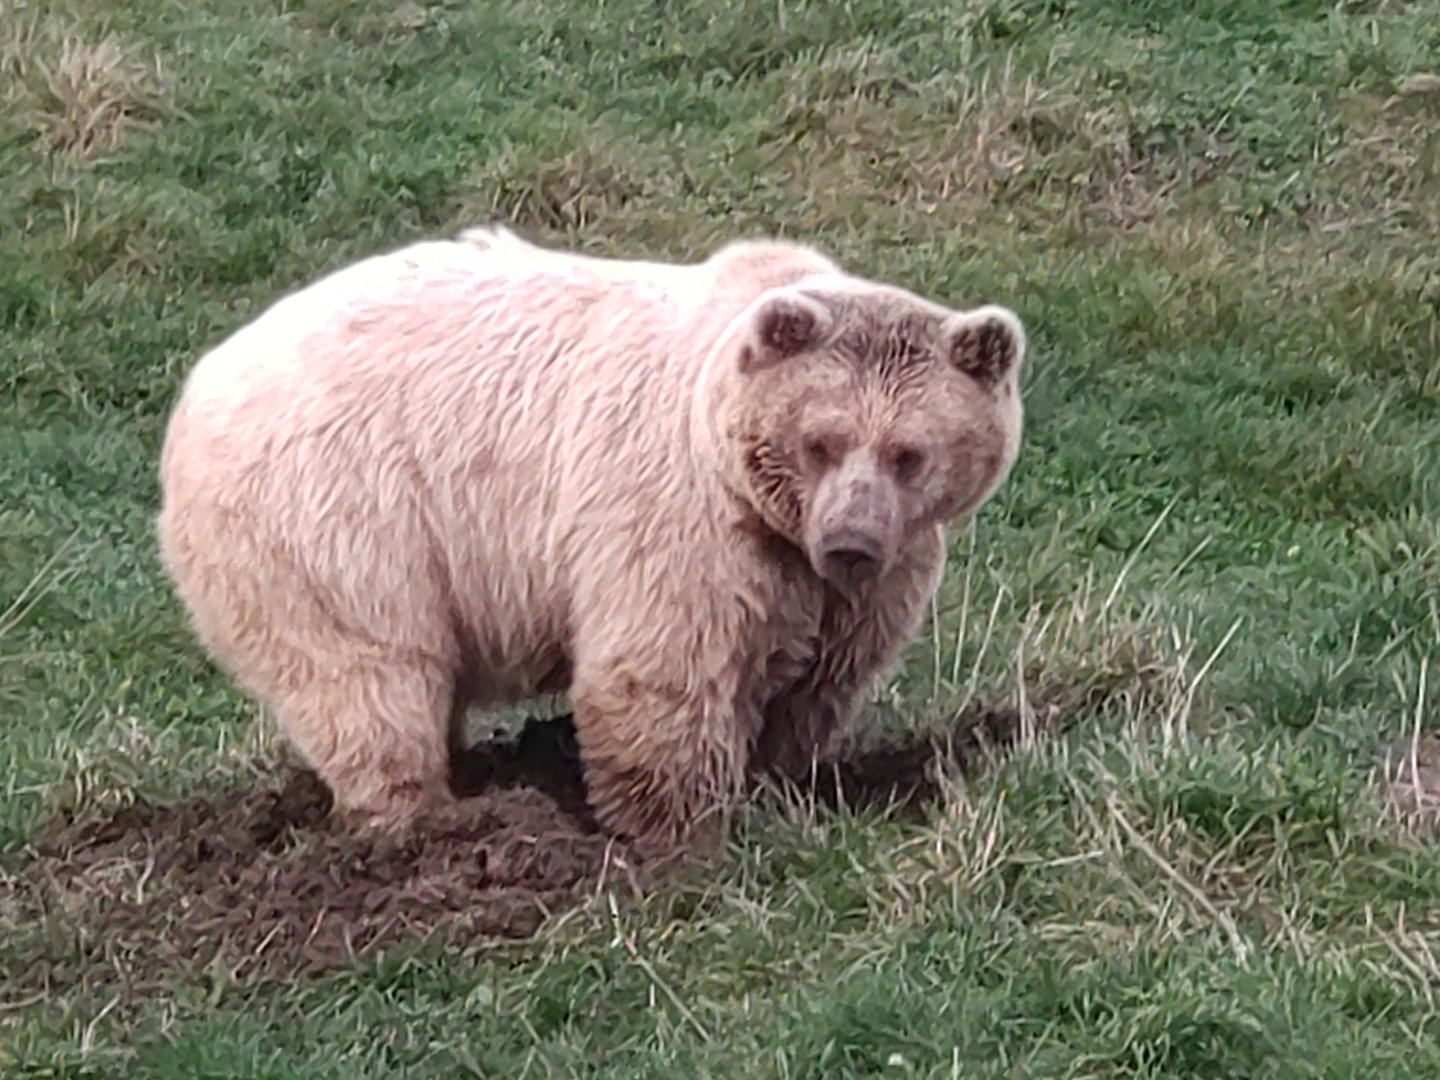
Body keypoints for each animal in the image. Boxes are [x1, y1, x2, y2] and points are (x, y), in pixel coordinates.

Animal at [155, 225, 1028, 857]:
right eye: (821, 440)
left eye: (910, 452)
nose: (850, 539)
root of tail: (195, 391)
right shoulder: (679, 514)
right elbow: (662, 670)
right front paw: (677, 831)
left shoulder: (871, 569)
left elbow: (819, 679)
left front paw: (781, 783)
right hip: (339, 519)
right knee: (369, 677)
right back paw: (431, 819)